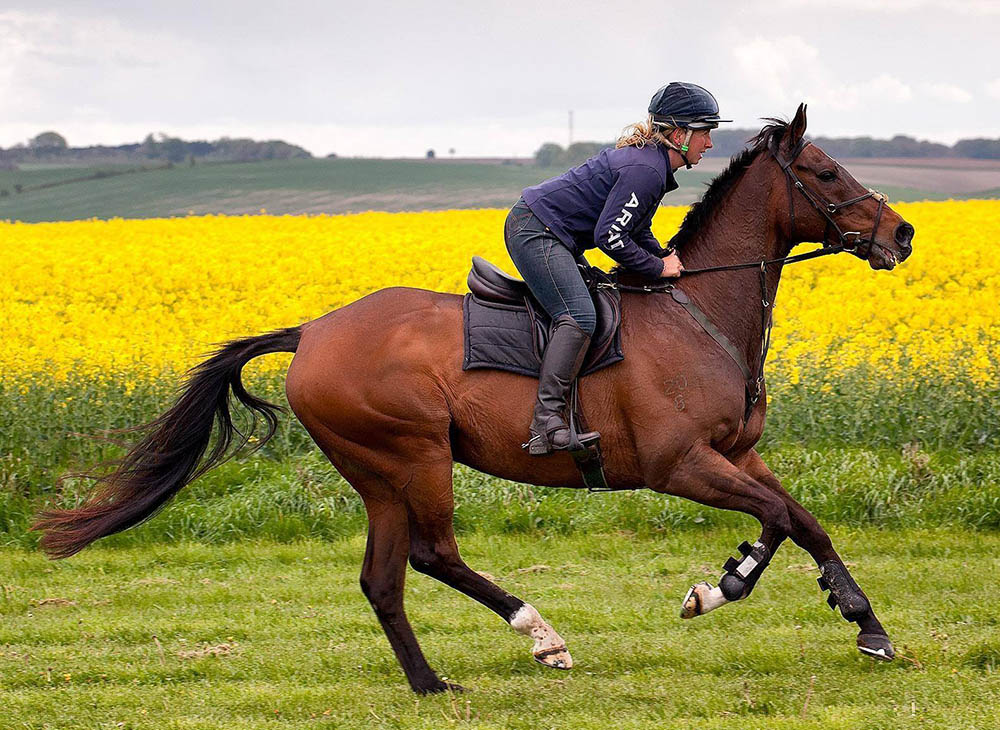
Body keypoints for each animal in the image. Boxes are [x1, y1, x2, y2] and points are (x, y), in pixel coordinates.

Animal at [35, 101, 916, 688]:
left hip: (380, 474)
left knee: (383, 578)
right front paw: (725, 588)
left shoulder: (735, 453)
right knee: (433, 554)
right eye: (826, 172)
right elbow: (776, 520)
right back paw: (541, 634)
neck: (697, 309)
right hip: (415, 454)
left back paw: (430, 682)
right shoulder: (680, 464)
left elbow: (800, 519)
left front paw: (857, 623)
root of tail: (311, 332)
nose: (902, 235)